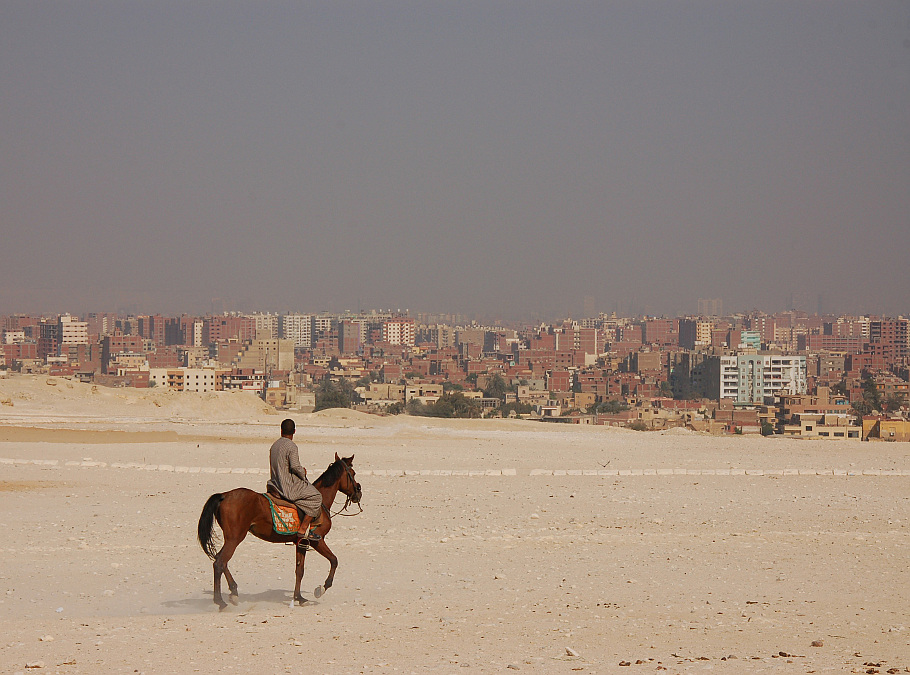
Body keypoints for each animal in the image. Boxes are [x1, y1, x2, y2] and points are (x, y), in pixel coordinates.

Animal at [198, 456, 362, 608]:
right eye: (353, 473)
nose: (358, 493)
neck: (321, 504)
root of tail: (224, 495)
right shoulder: (317, 540)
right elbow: (334, 560)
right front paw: (322, 588)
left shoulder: (301, 543)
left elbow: (299, 570)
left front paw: (299, 598)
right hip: (235, 538)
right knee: (219, 563)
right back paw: (220, 601)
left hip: (231, 538)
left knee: (220, 559)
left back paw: (233, 592)